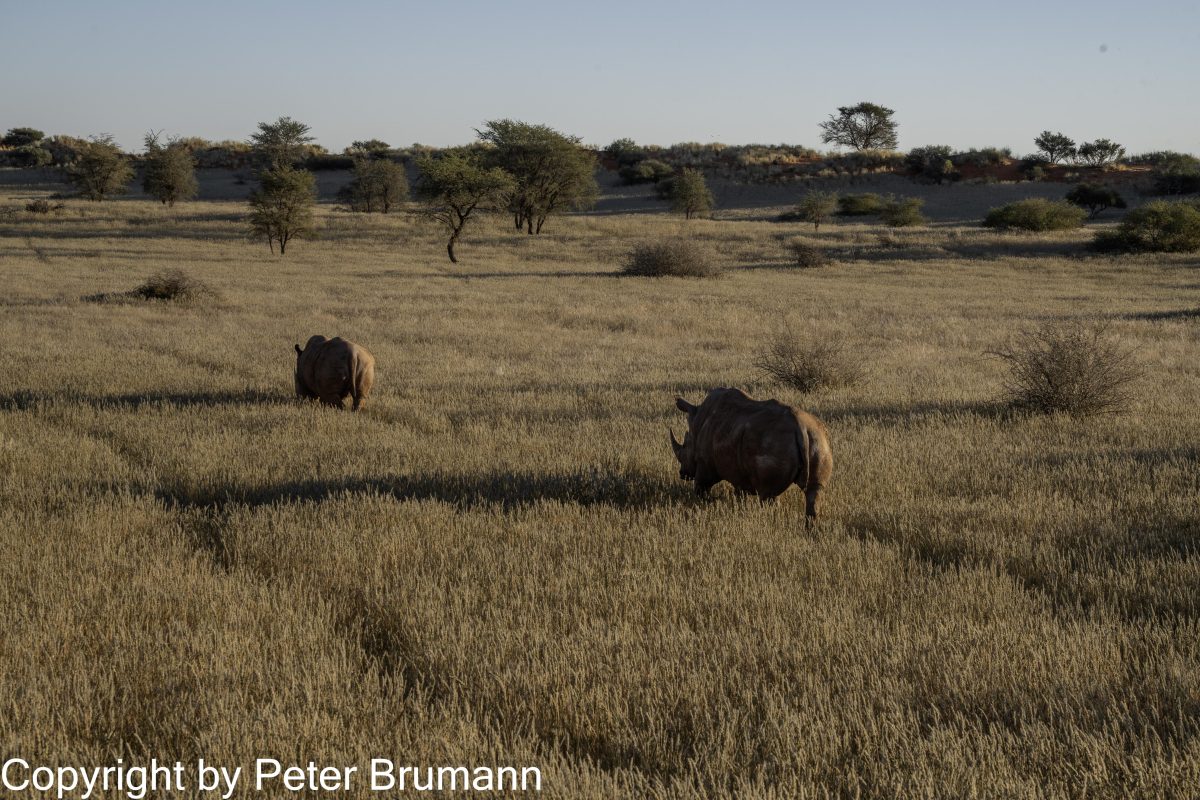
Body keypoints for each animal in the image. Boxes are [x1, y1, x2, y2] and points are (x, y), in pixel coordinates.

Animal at [670, 387, 833, 520]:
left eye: (685, 447)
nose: (682, 474)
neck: (697, 423)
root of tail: (801, 427)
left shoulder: (705, 464)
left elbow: (700, 489)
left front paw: (704, 503)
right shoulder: (739, 473)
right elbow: (740, 494)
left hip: (772, 444)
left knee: (768, 495)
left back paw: (769, 523)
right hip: (818, 439)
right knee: (814, 491)